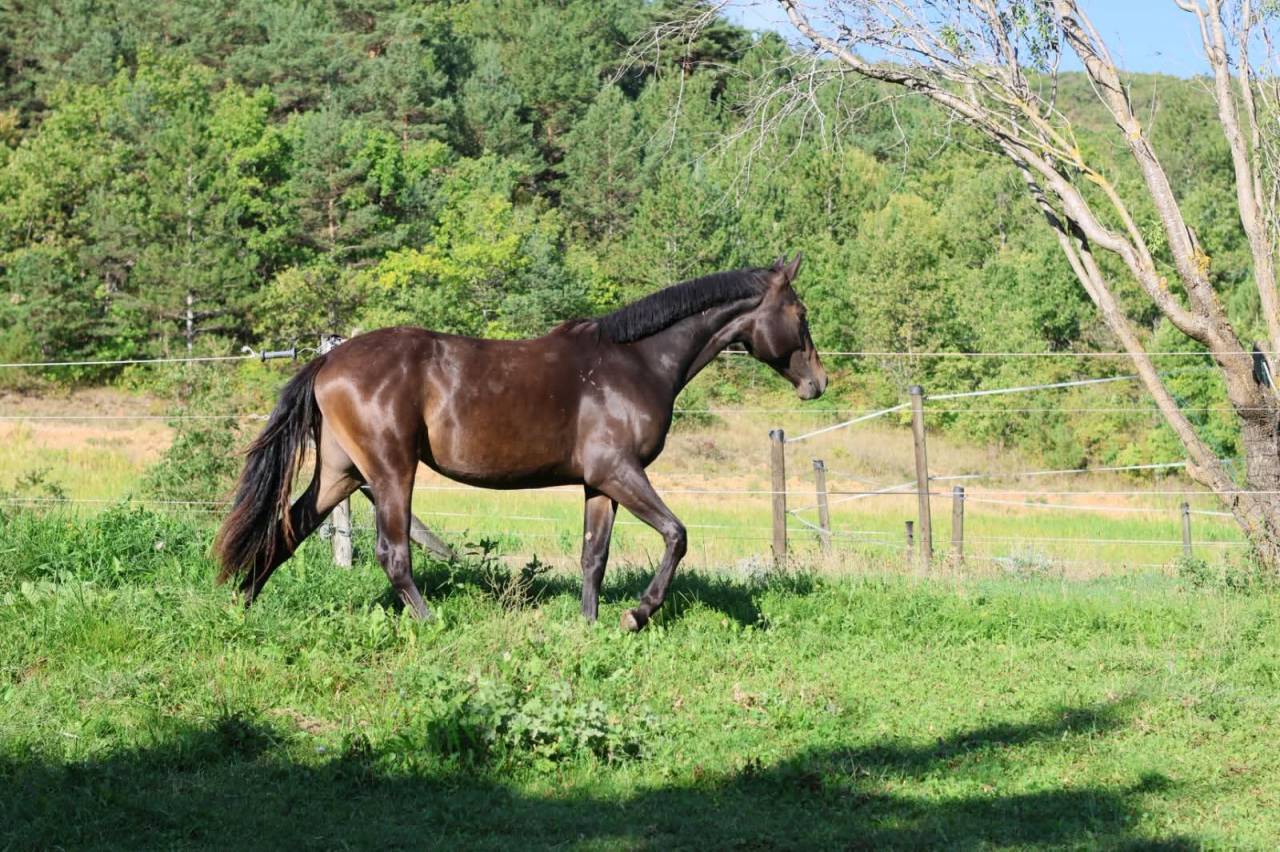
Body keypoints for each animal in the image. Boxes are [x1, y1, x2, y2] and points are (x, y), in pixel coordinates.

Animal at [213, 253, 826, 630]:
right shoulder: (620, 472)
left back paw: (242, 603)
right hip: (390, 471)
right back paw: (431, 623)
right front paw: (636, 614)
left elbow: (593, 557)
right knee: (393, 553)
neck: (635, 363)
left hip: (343, 473)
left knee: (287, 526)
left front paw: (590, 625)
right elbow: (676, 535)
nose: (817, 383)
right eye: (800, 313)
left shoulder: (599, 484)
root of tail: (329, 360)